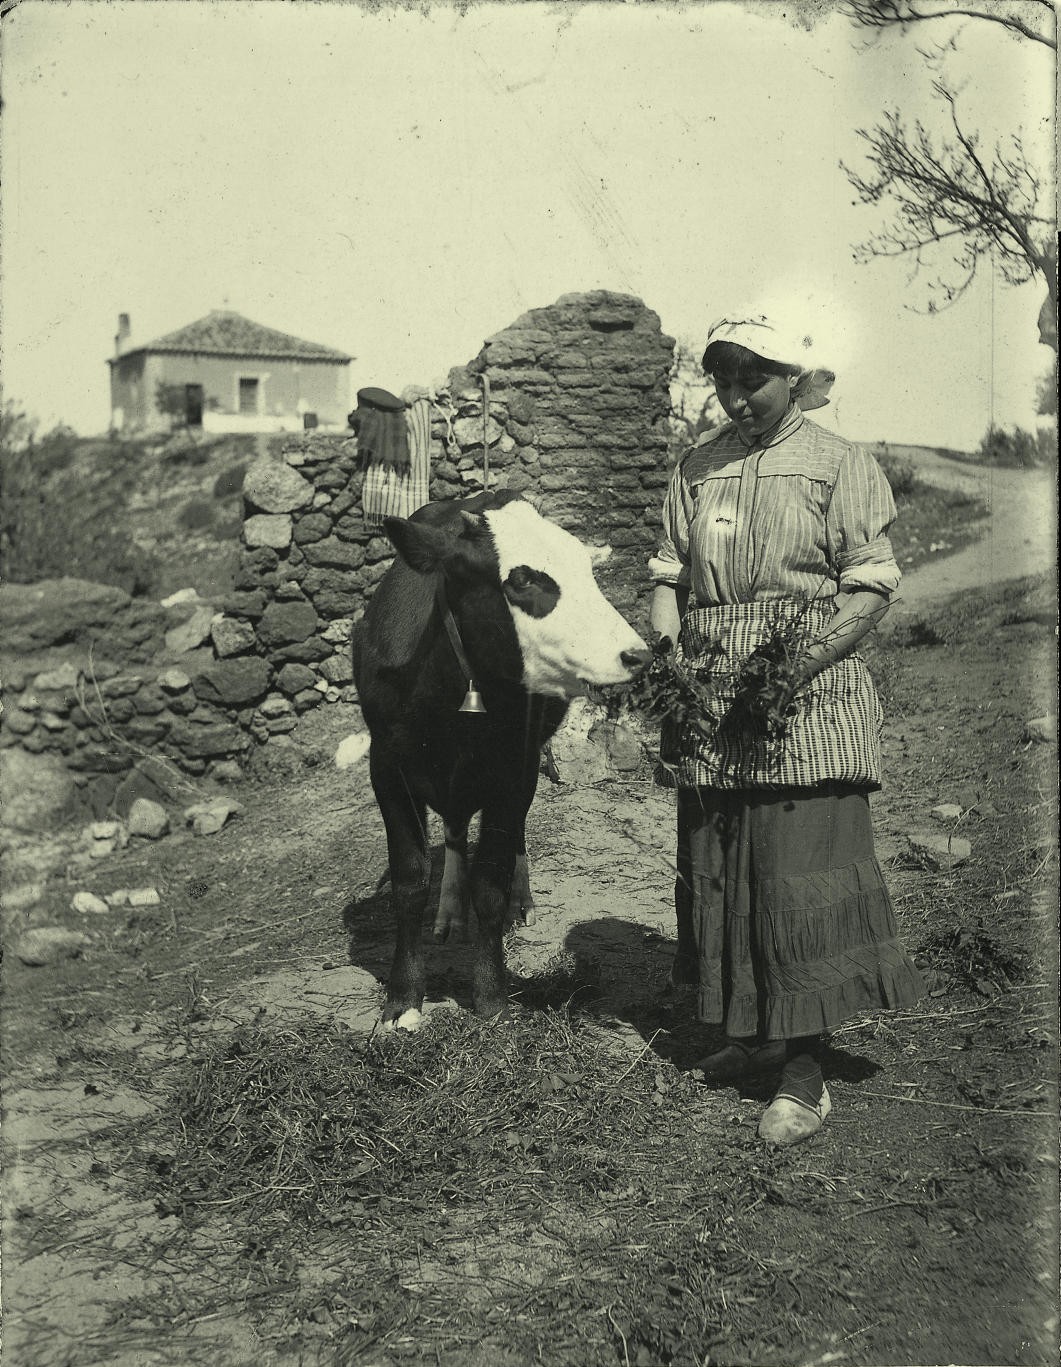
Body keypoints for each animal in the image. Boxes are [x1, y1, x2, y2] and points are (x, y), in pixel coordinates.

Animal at [355, 489, 645, 1027]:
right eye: (523, 579)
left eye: (588, 571)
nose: (638, 654)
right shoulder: (386, 767)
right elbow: (409, 882)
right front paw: (402, 1002)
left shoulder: (512, 770)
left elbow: (490, 881)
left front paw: (491, 999)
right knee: (452, 835)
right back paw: (450, 912)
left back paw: (520, 900)